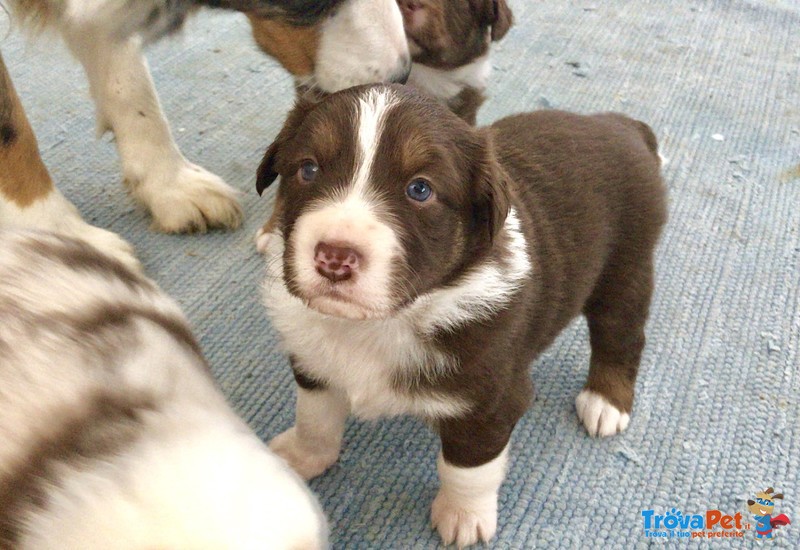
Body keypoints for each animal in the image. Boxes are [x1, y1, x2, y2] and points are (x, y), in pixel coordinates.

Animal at [258, 84, 668, 548]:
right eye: (308, 169)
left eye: (420, 190)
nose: (334, 257)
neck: (382, 323)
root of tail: (620, 125)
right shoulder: (313, 363)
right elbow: (315, 418)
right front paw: (300, 458)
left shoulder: (489, 400)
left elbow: (468, 468)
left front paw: (463, 516)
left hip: (625, 267)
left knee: (621, 336)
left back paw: (605, 402)